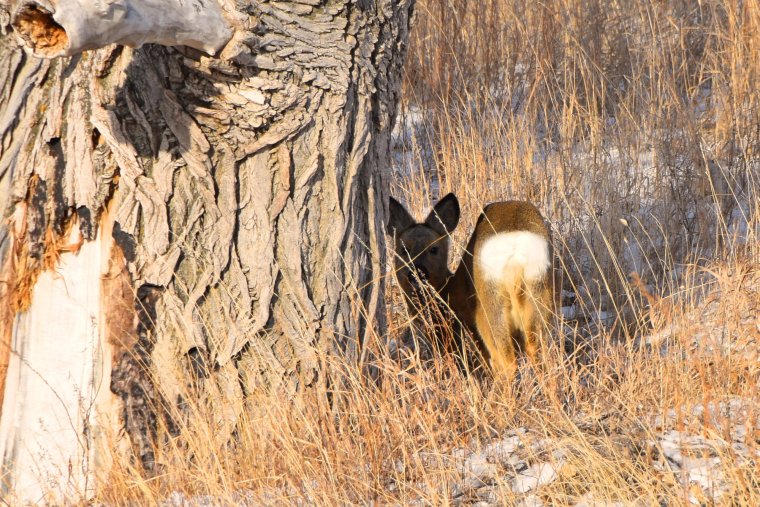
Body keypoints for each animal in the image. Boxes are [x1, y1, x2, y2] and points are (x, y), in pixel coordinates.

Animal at [388, 192, 556, 380]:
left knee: (506, 362)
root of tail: (515, 243)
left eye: (434, 249)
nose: (417, 272)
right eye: (404, 249)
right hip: (540, 293)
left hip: (489, 306)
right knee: (539, 353)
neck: (448, 291)